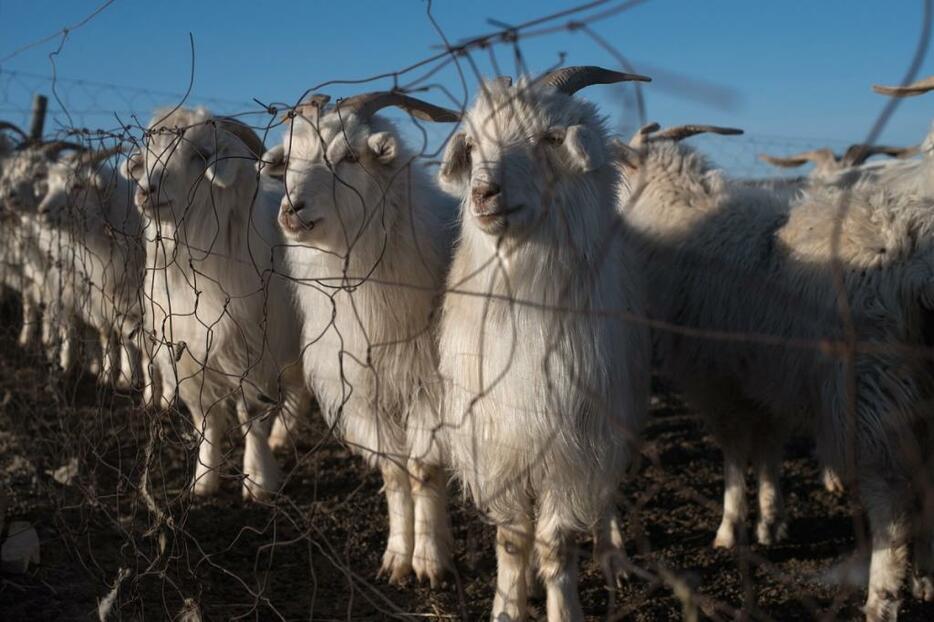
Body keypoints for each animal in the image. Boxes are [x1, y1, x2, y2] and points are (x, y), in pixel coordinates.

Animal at [119, 109, 310, 502]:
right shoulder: (189, 353)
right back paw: (283, 435)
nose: (146, 189)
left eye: (202, 155)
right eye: (149, 150)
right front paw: (204, 480)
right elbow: (206, 416)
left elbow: (250, 414)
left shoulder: (255, 352)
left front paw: (258, 481)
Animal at [266, 90, 462, 588]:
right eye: (288, 158)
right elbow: (394, 473)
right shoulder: (363, 395)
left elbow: (422, 469)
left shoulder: (429, 389)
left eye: (350, 157)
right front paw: (396, 558)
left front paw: (429, 561)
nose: (290, 209)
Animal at [436, 66, 652, 620]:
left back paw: (612, 554)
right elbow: (513, 540)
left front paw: (563, 608)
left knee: (603, 502)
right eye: (472, 145)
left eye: (551, 139)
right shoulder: (500, 446)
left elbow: (558, 544)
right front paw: (508, 607)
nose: (483, 194)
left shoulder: (573, 450)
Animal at [616, 124, 934, 620]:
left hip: (870, 390)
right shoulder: (765, 377)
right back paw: (924, 578)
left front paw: (731, 527)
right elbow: (768, 446)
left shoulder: (716, 380)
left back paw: (881, 598)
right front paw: (771, 520)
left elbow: (733, 452)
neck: (684, 219)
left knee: (891, 503)